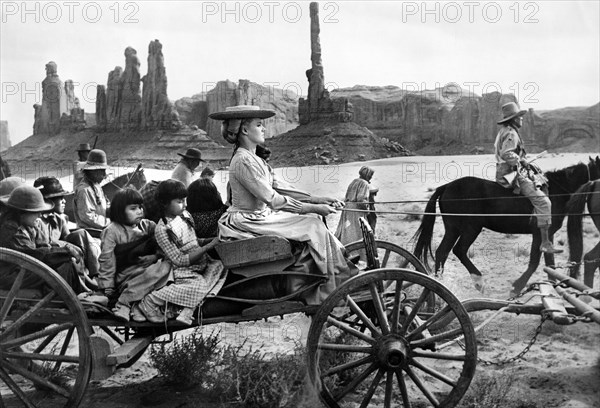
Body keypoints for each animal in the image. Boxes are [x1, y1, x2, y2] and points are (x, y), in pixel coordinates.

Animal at [414, 156, 596, 296]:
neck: (556, 191)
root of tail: (446, 187)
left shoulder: (547, 235)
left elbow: (549, 264)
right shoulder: (538, 233)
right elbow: (534, 262)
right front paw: (517, 287)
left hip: (453, 229)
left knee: (442, 252)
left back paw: (441, 284)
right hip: (471, 229)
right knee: (459, 250)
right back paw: (478, 281)